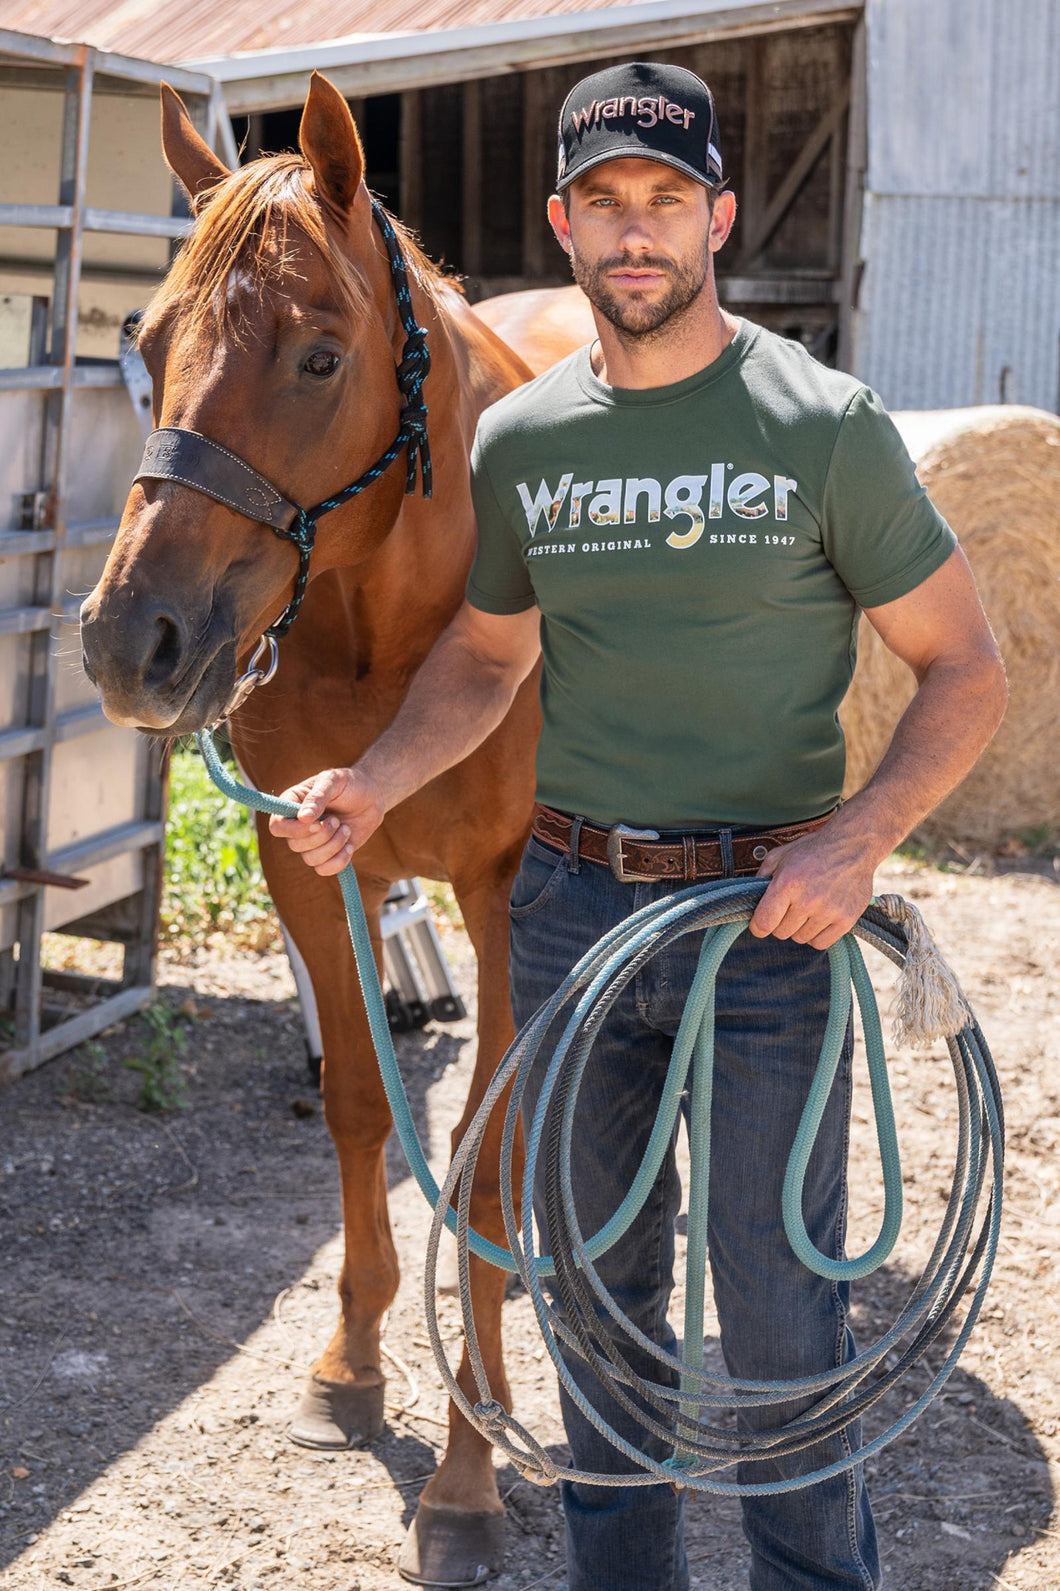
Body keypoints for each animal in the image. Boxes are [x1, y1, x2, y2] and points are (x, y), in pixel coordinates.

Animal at [84, 71, 537, 1578]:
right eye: (145, 340)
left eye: (321, 357)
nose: (129, 641)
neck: (391, 622)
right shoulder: (311, 862)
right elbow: (355, 1102)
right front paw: (348, 1369)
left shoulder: (510, 896)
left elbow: (485, 1160)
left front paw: (469, 1469)